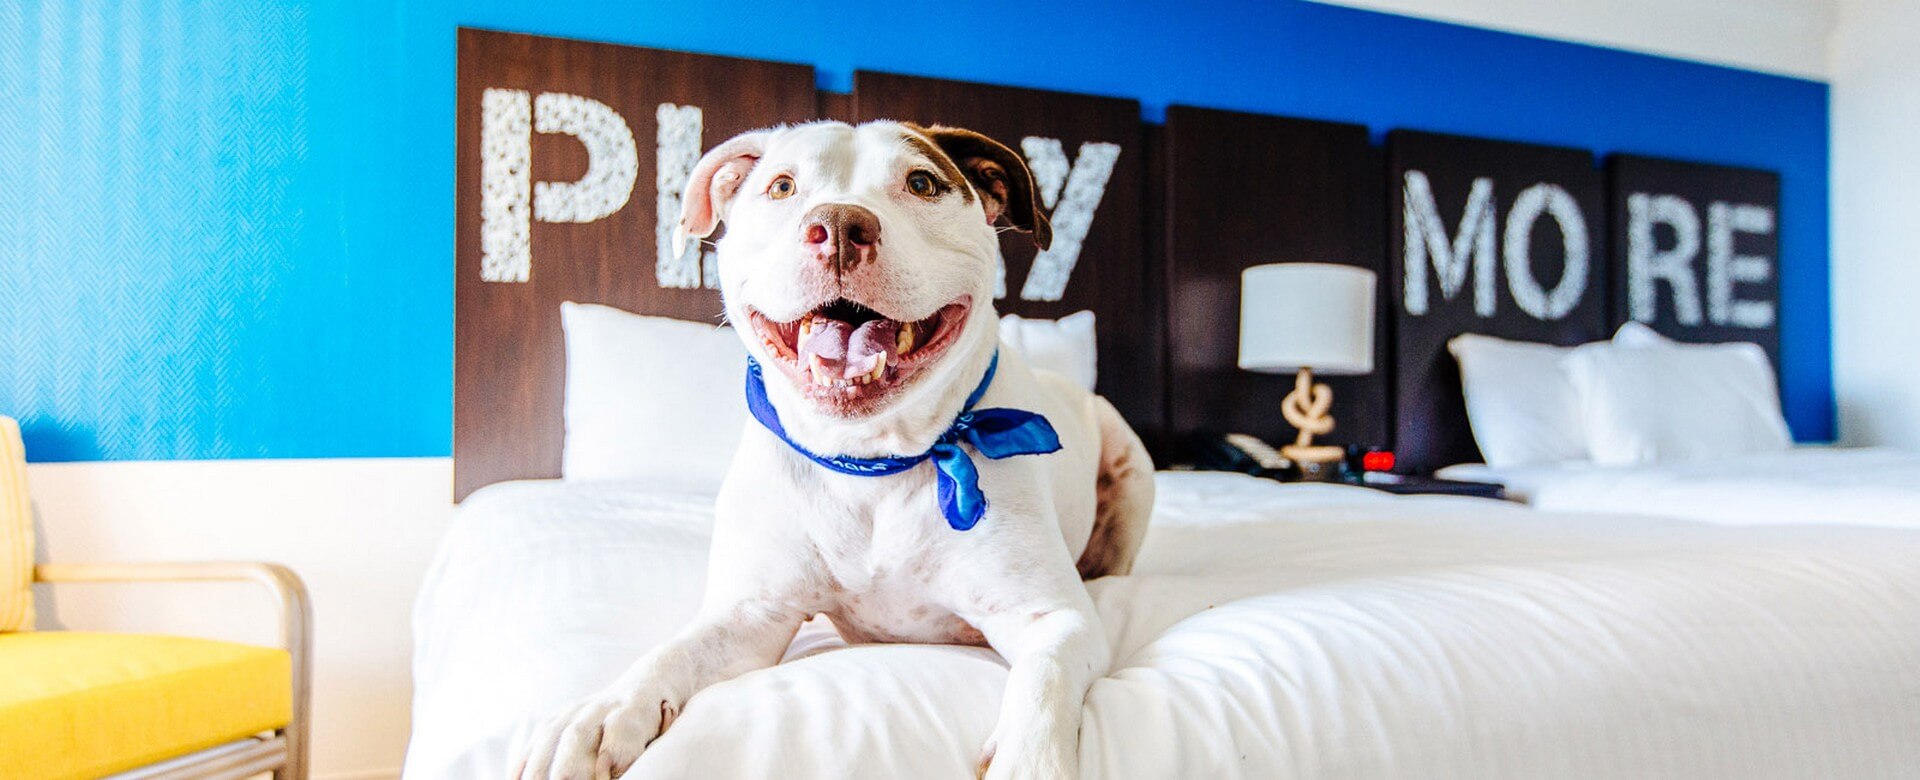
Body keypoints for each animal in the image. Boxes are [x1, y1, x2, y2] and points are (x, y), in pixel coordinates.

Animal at [514, 121, 1152, 780]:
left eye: (922, 183)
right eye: (782, 186)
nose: (841, 225)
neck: (871, 461)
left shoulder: (1056, 619)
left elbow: (1043, 681)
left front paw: (1030, 762)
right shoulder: (752, 613)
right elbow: (670, 654)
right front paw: (601, 713)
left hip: (1131, 465)